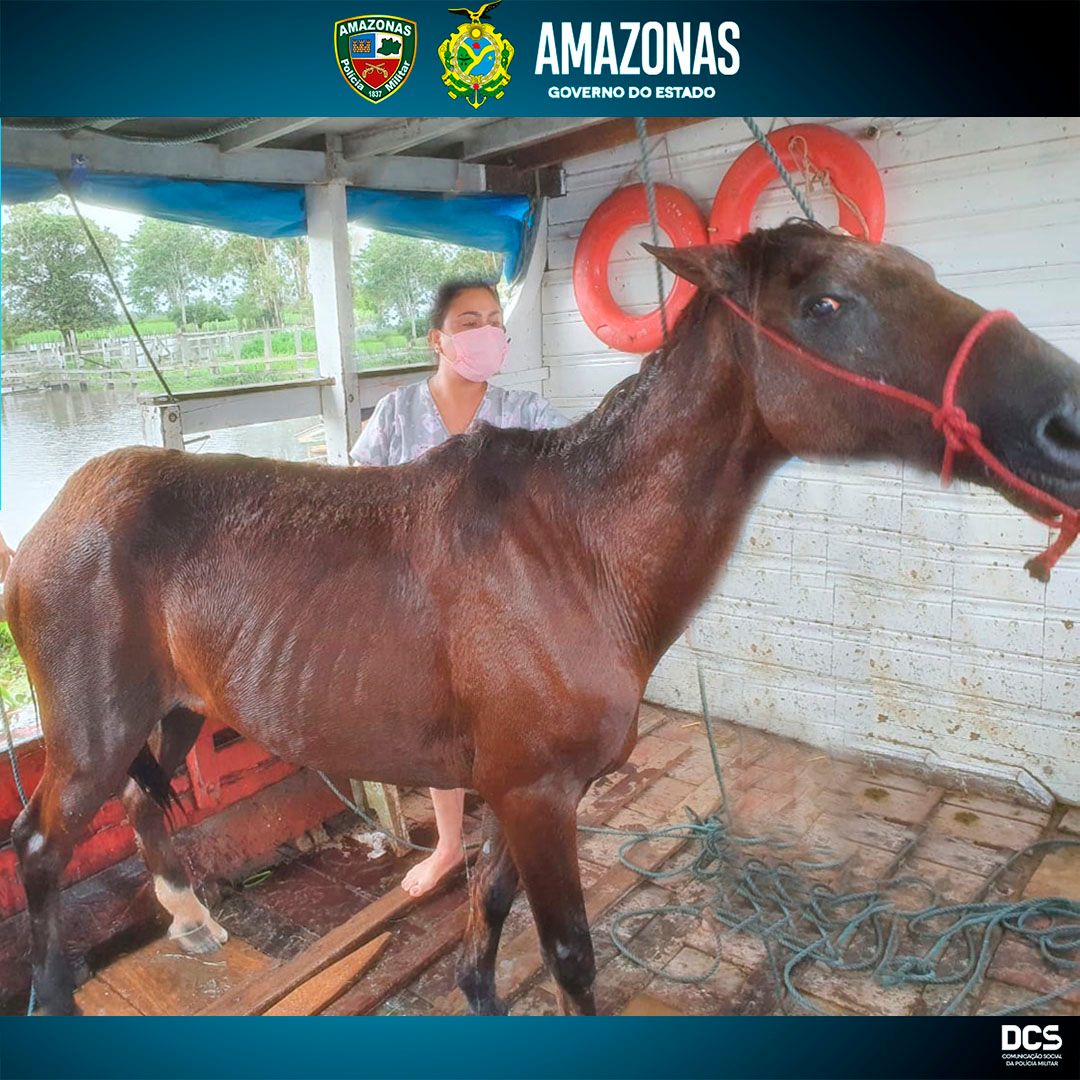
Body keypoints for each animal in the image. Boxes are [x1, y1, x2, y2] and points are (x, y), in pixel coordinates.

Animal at [7, 223, 1079, 1016]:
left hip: (176, 711)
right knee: (42, 846)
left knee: (144, 807)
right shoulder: (535, 796)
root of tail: (48, 525)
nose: (1065, 422)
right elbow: (568, 954)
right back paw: (56, 995)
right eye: (824, 305)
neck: (577, 549)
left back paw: (192, 921)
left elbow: (485, 911)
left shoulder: (520, 793)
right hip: (95, 732)